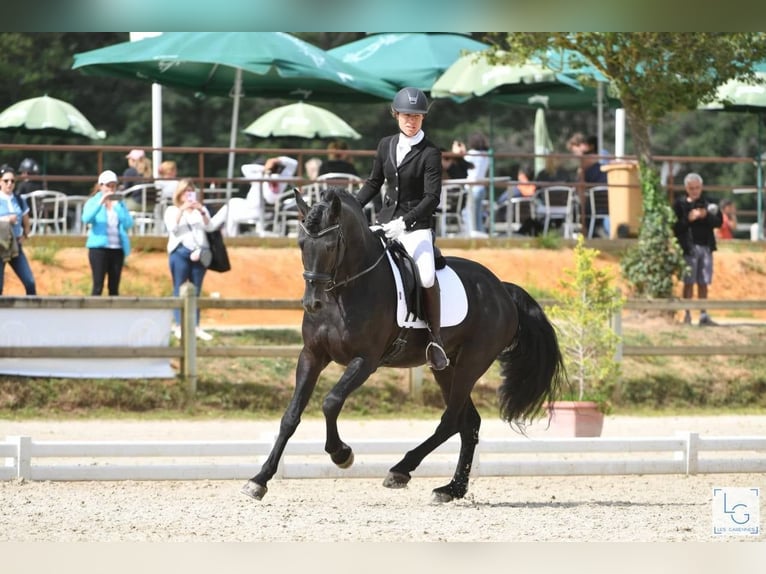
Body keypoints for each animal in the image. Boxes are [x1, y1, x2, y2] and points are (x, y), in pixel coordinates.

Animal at [243, 188, 568, 504]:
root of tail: (502, 288)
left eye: (332, 246)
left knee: (451, 420)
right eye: (301, 245)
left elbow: (331, 401)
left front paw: (341, 454)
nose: (312, 303)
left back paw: (401, 470)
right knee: (468, 423)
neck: (344, 291)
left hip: (471, 364)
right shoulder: (311, 355)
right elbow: (290, 416)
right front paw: (259, 480)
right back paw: (451, 489)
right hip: (445, 367)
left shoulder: (366, 360)